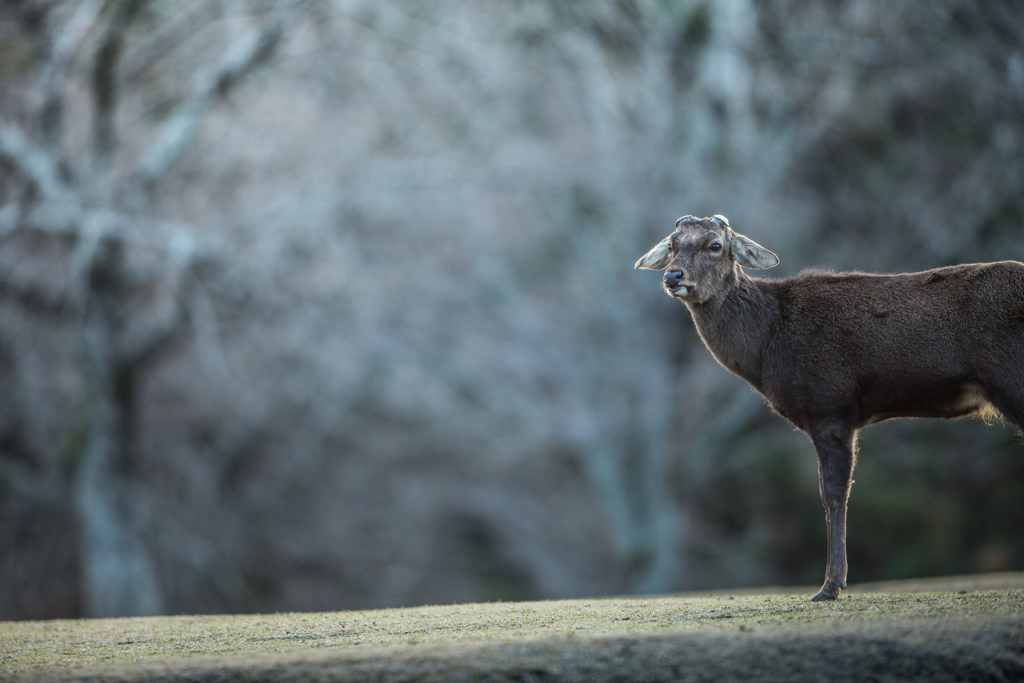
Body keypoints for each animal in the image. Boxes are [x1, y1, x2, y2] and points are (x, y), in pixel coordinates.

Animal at [630, 211, 1024, 598]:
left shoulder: (830, 407)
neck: (766, 348)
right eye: (671, 244)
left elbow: (833, 496)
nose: (673, 276)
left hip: (1011, 379)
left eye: (714, 245)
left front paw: (831, 586)